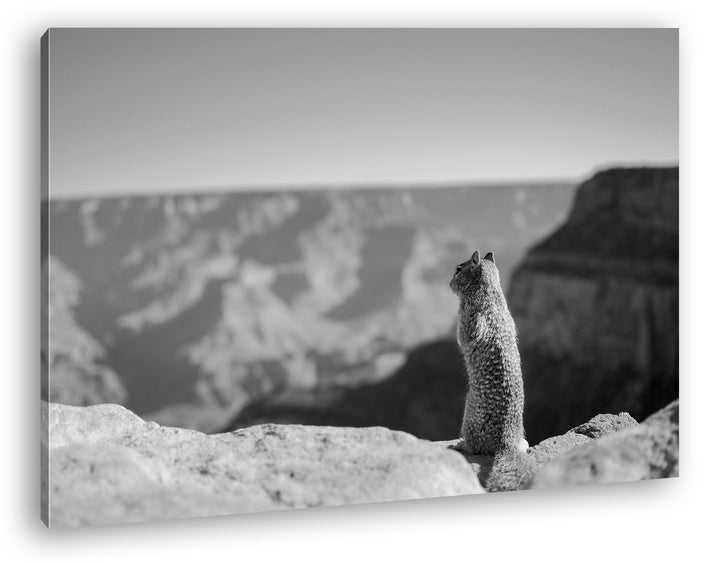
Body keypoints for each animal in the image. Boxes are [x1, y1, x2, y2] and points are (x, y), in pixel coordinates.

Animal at [449, 250, 528, 455]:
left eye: (458, 269)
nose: (449, 283)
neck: (489, 292)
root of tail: (505, 443)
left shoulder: (466, 318)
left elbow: (462, 338)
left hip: (468, 417)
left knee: (474, 447)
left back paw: (459, 444)